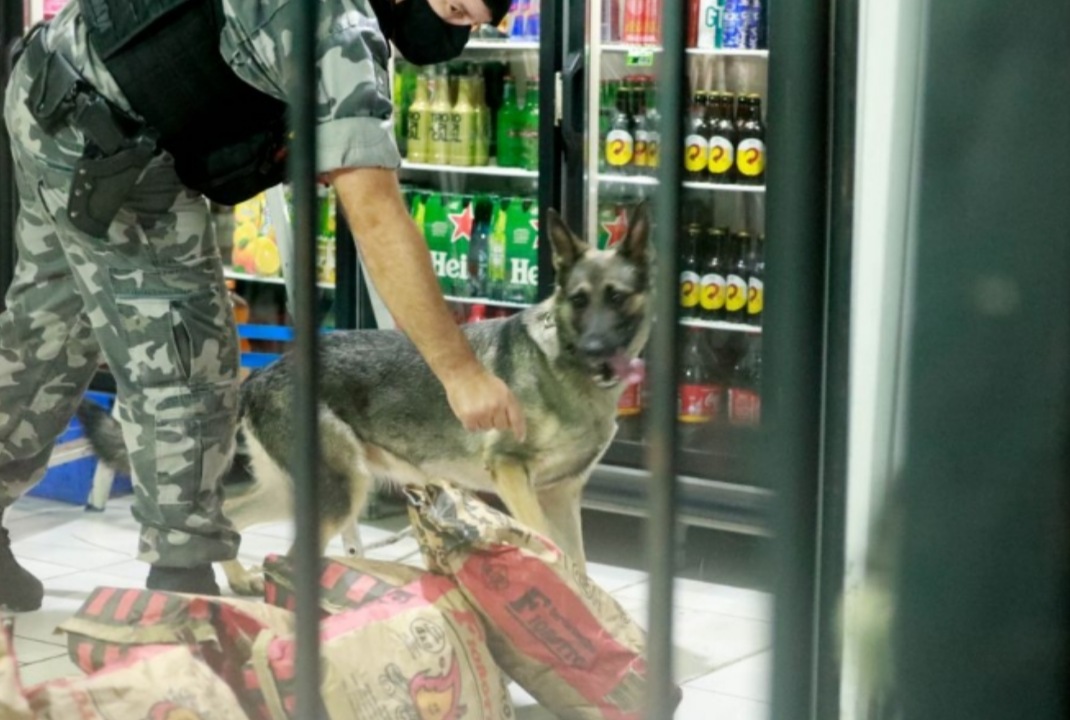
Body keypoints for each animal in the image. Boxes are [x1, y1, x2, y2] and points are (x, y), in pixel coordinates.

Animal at [79, 203, 650, 594]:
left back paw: (237, 581)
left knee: (229, 519)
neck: (565, 368)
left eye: (616, 298)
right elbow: (547, 543)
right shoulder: (513, 474)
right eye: (579, 301)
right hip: (340, 492)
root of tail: (261, 375)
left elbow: (577, 559)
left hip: (296, 491)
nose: (598, 354)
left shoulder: (564, 494)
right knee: (283, 551)